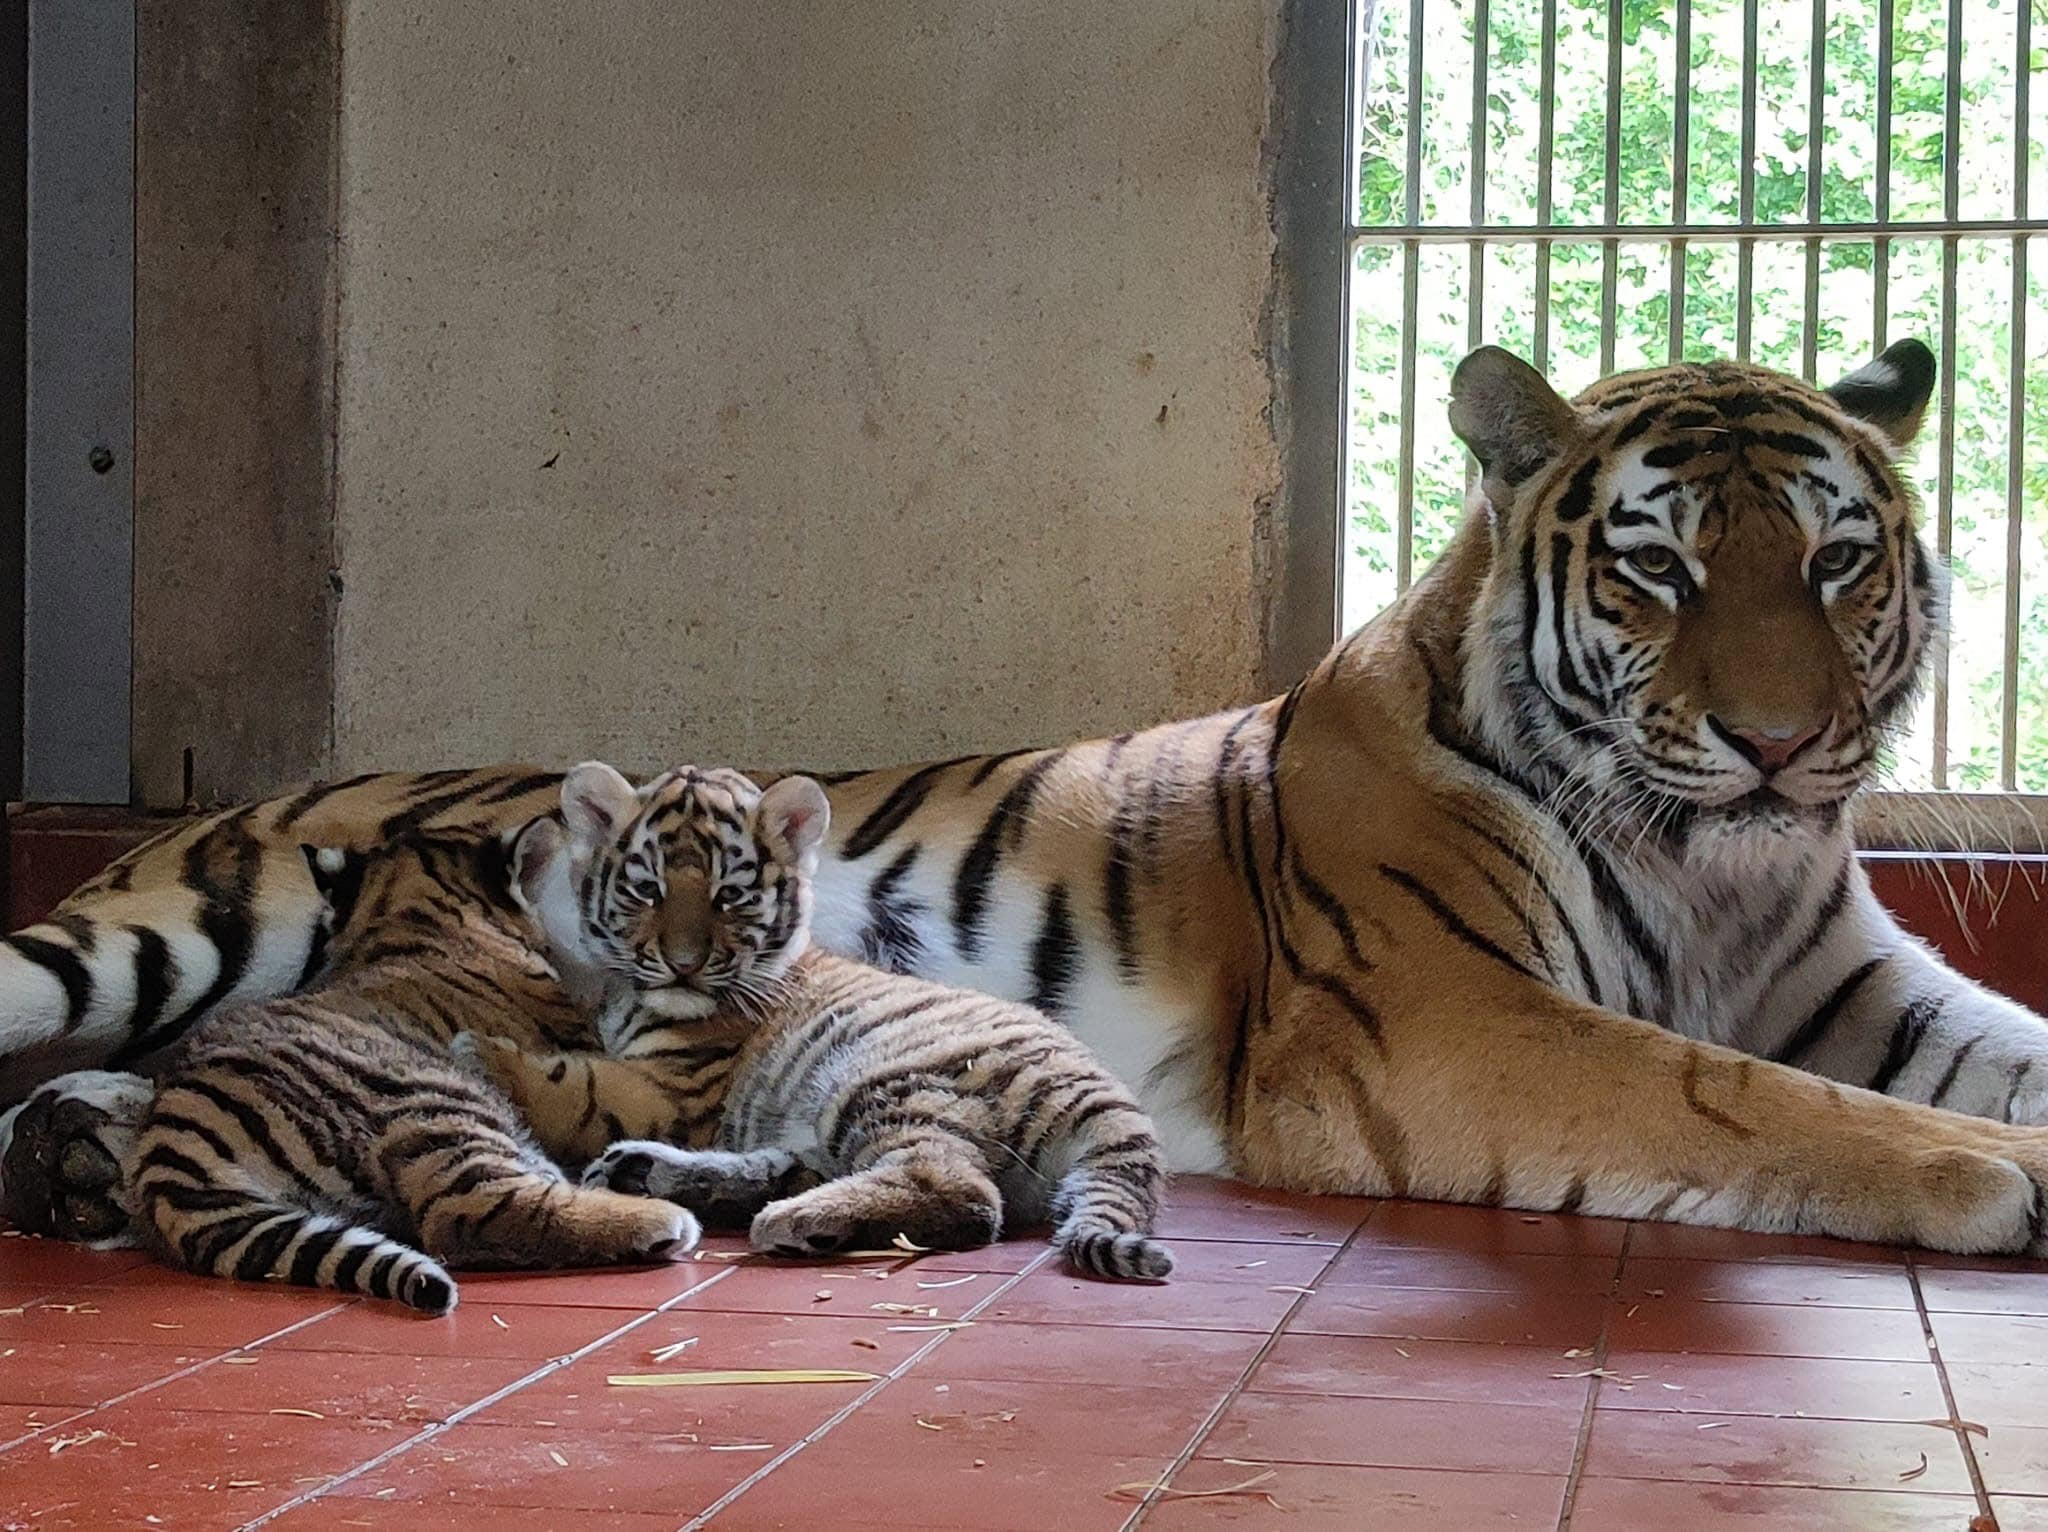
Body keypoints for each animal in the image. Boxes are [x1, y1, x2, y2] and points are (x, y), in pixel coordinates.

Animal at [4, 346, 2048, 1253]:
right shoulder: (1439, 1022)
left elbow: (1953, 1055)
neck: (1722, 872)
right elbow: (1746, 1100)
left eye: (1837, 558)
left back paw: (80, 1162)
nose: (1781, 745)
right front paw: (2000, 1183)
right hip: (163, 934)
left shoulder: (1851, 987)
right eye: (1659, 572)